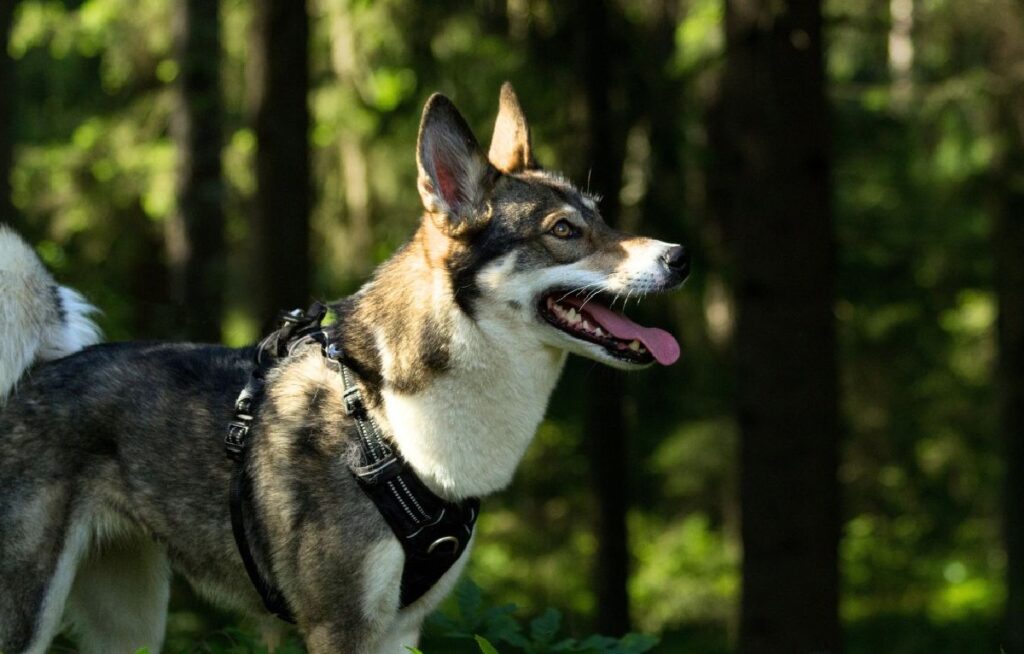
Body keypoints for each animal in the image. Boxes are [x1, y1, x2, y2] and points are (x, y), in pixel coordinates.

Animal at [0, 82, 692, 654]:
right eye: (564, 230)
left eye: (601, 216)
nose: (681, 256)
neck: (386, 414)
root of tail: (30, 374)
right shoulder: (340, 627)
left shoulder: (401, 630)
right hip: (29, 613)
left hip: (132, 618)